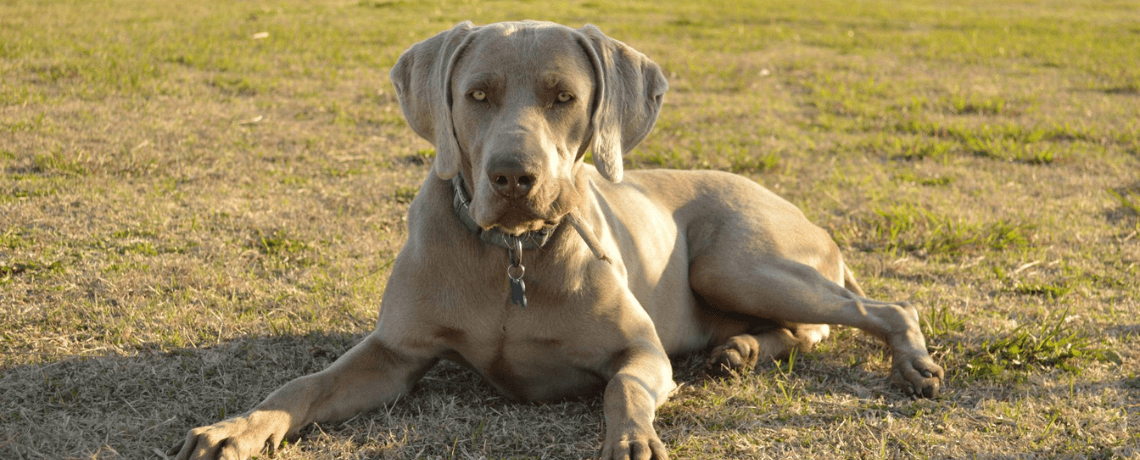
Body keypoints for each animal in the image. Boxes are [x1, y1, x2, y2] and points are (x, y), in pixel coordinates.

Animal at [173, 20, 943, 459]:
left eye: (563, 97)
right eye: (477, 95)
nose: (515, 177)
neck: (512, 255)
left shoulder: (641, 351)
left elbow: (624, 388)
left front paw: (634, 440)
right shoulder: (393, 354)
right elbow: (305, 383)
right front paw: (237, 428)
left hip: (739, 259)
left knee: (882, 308)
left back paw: (911, 364)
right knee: (798, 328)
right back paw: (740, 352)